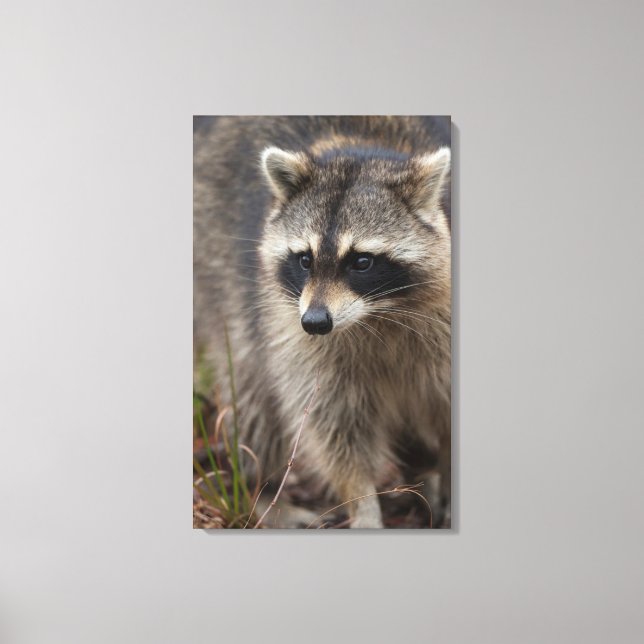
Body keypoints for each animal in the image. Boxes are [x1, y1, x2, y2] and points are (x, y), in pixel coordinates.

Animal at [194, 116, 451, 528]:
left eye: (361, 261)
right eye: (305, 259)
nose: (315, 322)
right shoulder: (293, 330)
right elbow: (335, 428)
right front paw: (363, 505)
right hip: (220, 274)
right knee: (253, 389)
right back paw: (265, 491)